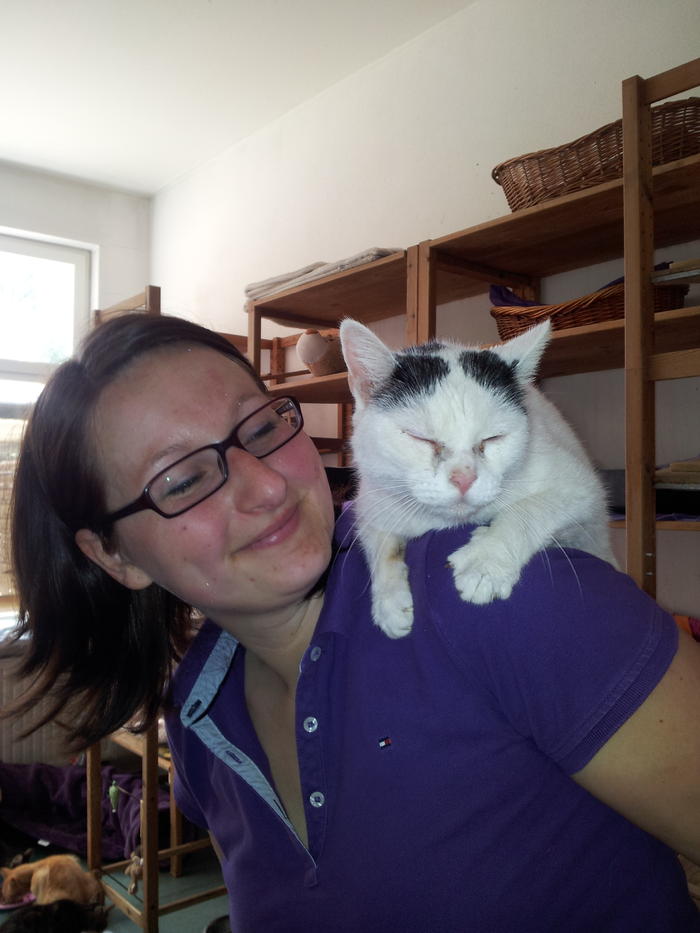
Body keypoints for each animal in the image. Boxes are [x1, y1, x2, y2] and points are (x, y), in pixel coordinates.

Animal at [338, 318, 616, 638]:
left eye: (493, 438)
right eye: (420, 438)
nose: (464, 478)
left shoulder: (580, 486)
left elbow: (531, 509)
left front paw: (486, 561)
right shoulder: (371, 500)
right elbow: (381, 543)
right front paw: (388, 601)